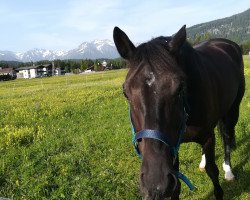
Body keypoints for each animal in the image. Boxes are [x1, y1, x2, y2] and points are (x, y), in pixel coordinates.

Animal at [114, 25, 246, 200]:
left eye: (180, 88)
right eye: (125, 93)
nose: (155, 184)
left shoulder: (208, 137)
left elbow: (213, 171)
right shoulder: (172, 147)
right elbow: (176, 185)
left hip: (232, 110)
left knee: (227, 136)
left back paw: (228, 170)